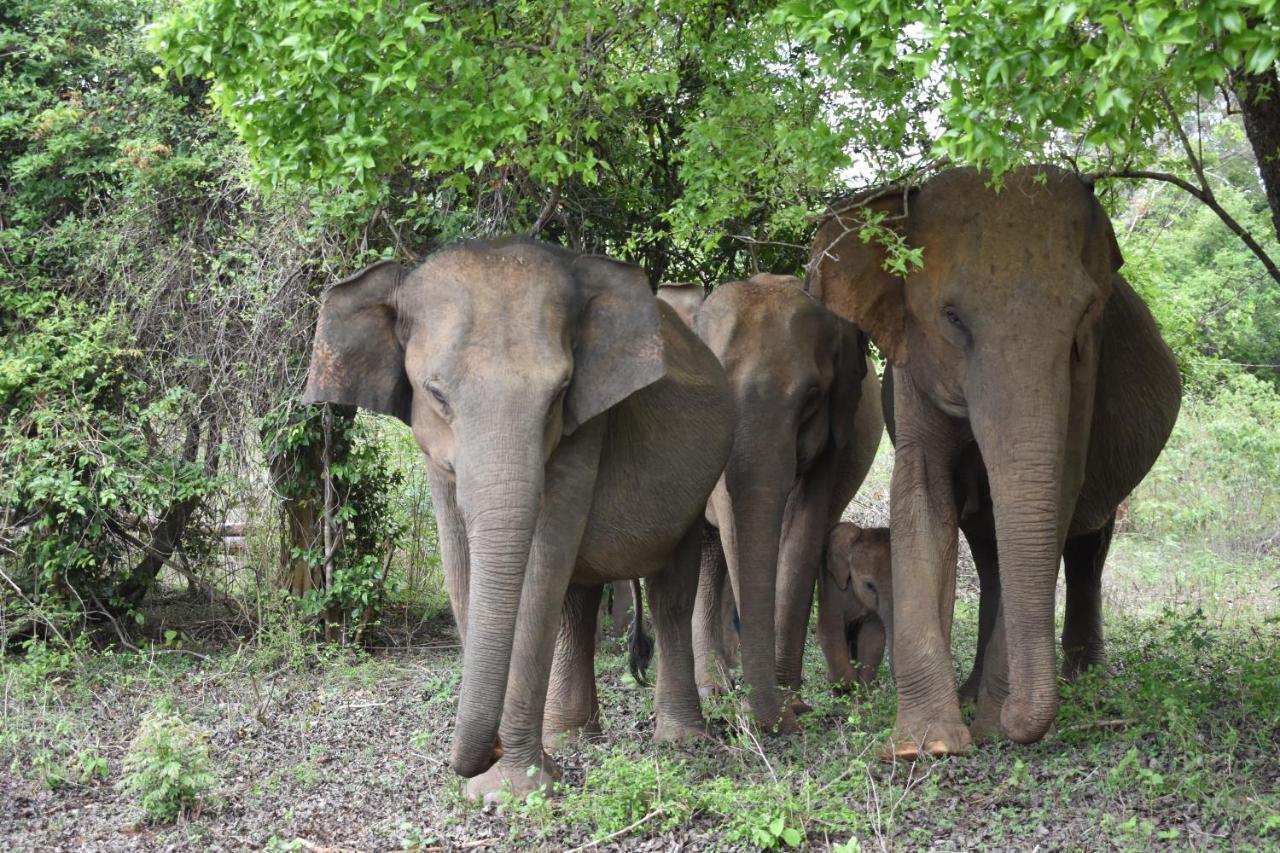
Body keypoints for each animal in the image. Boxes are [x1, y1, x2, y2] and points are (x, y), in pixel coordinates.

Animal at [819, 517, 890, 691]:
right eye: (869, 585)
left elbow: (873, 635)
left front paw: (863, 688)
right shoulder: (830, 584)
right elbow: (830, 628)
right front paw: (846, 684)